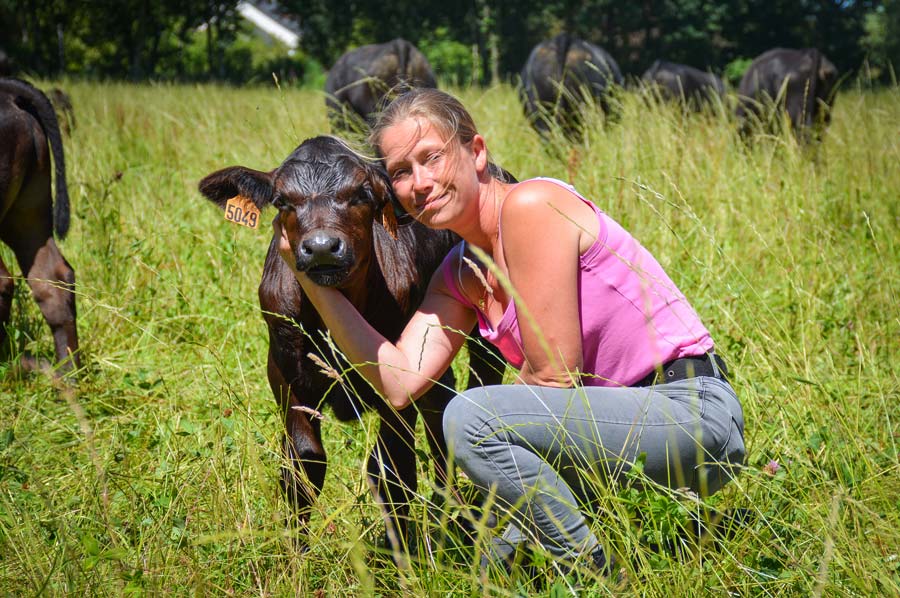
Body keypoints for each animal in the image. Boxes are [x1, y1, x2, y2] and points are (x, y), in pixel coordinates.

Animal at [198, 135, 506, 552]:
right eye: (282, 200)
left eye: (362, 194)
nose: (322, 247)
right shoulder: (284, 373)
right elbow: (303, 465)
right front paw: (296, 558)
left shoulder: (393, 385)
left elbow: (393, 469)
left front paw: (401, 557)